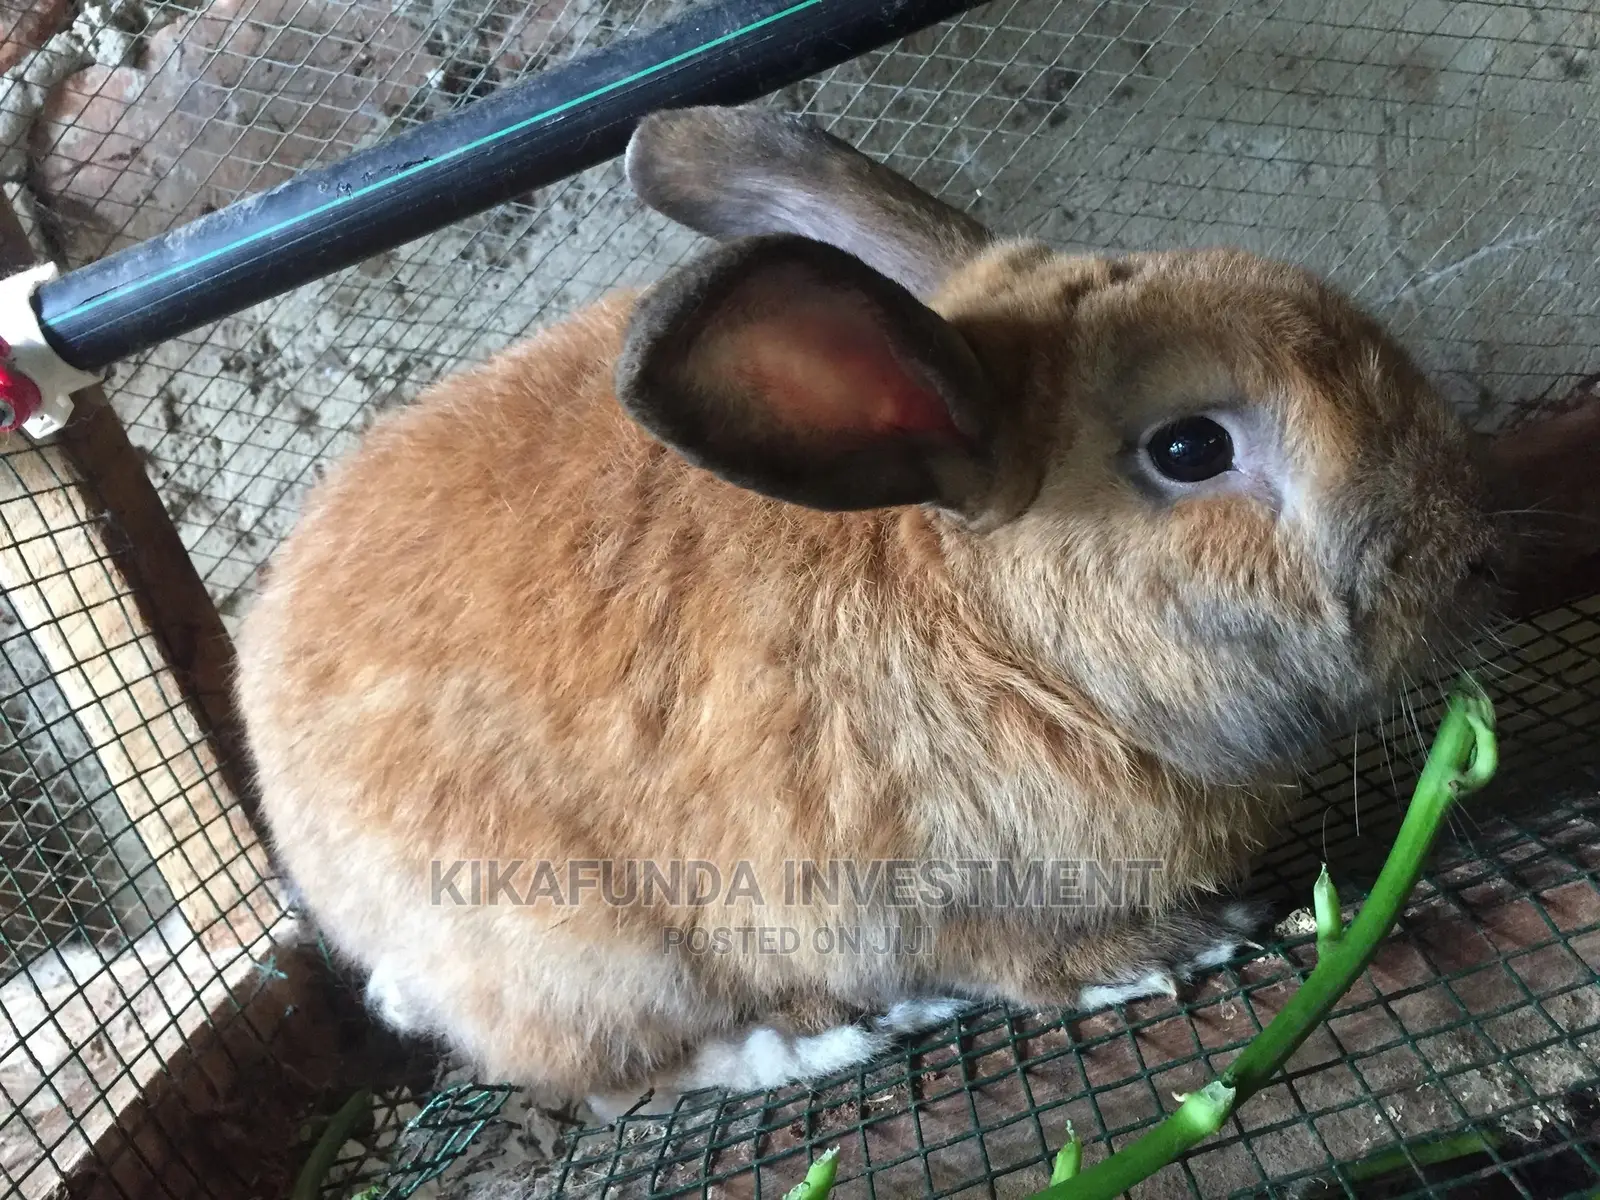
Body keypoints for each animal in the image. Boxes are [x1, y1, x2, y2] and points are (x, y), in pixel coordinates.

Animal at [234, 104, 1500, 1119]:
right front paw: (1173, 949)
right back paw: (817, 1042)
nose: (1469, 549)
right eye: (1191, 449)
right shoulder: (937, 895)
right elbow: (1029, 964)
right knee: (615, 1077)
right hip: (585, 953)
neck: (1013, 644)